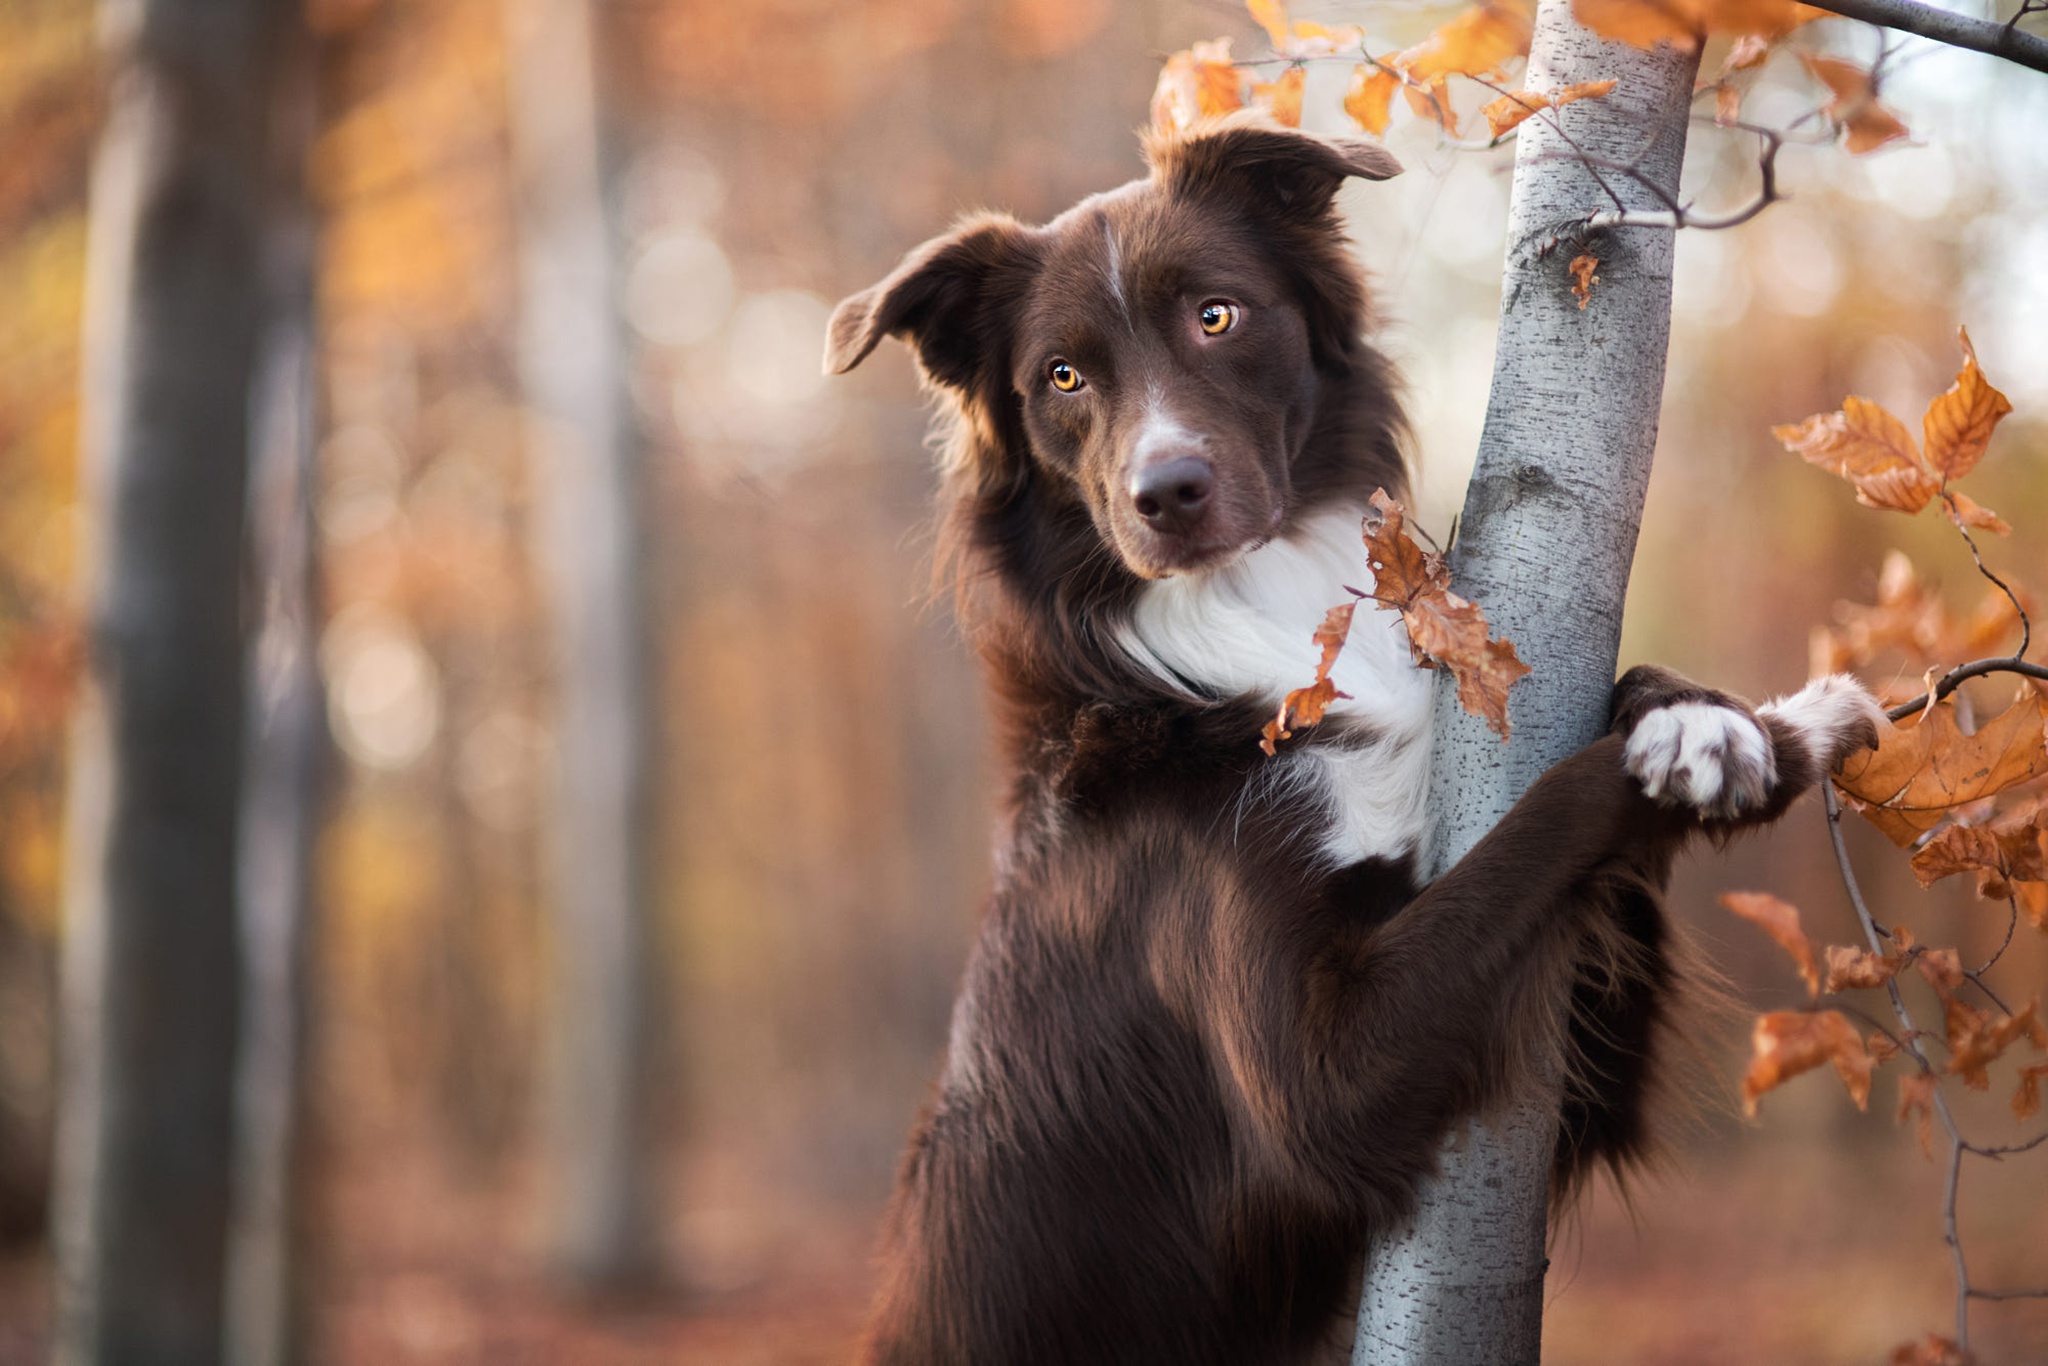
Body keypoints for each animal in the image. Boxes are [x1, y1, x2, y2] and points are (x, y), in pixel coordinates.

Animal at [823, 114, 1875, 1366]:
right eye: (1061, 377)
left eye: (1215, 315)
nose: (1165, 492)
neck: (1245, 623)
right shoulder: (1321, 1084)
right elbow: (1545, 815)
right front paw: (1797, 725)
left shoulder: (1574, 1105)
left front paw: (1694, 717)